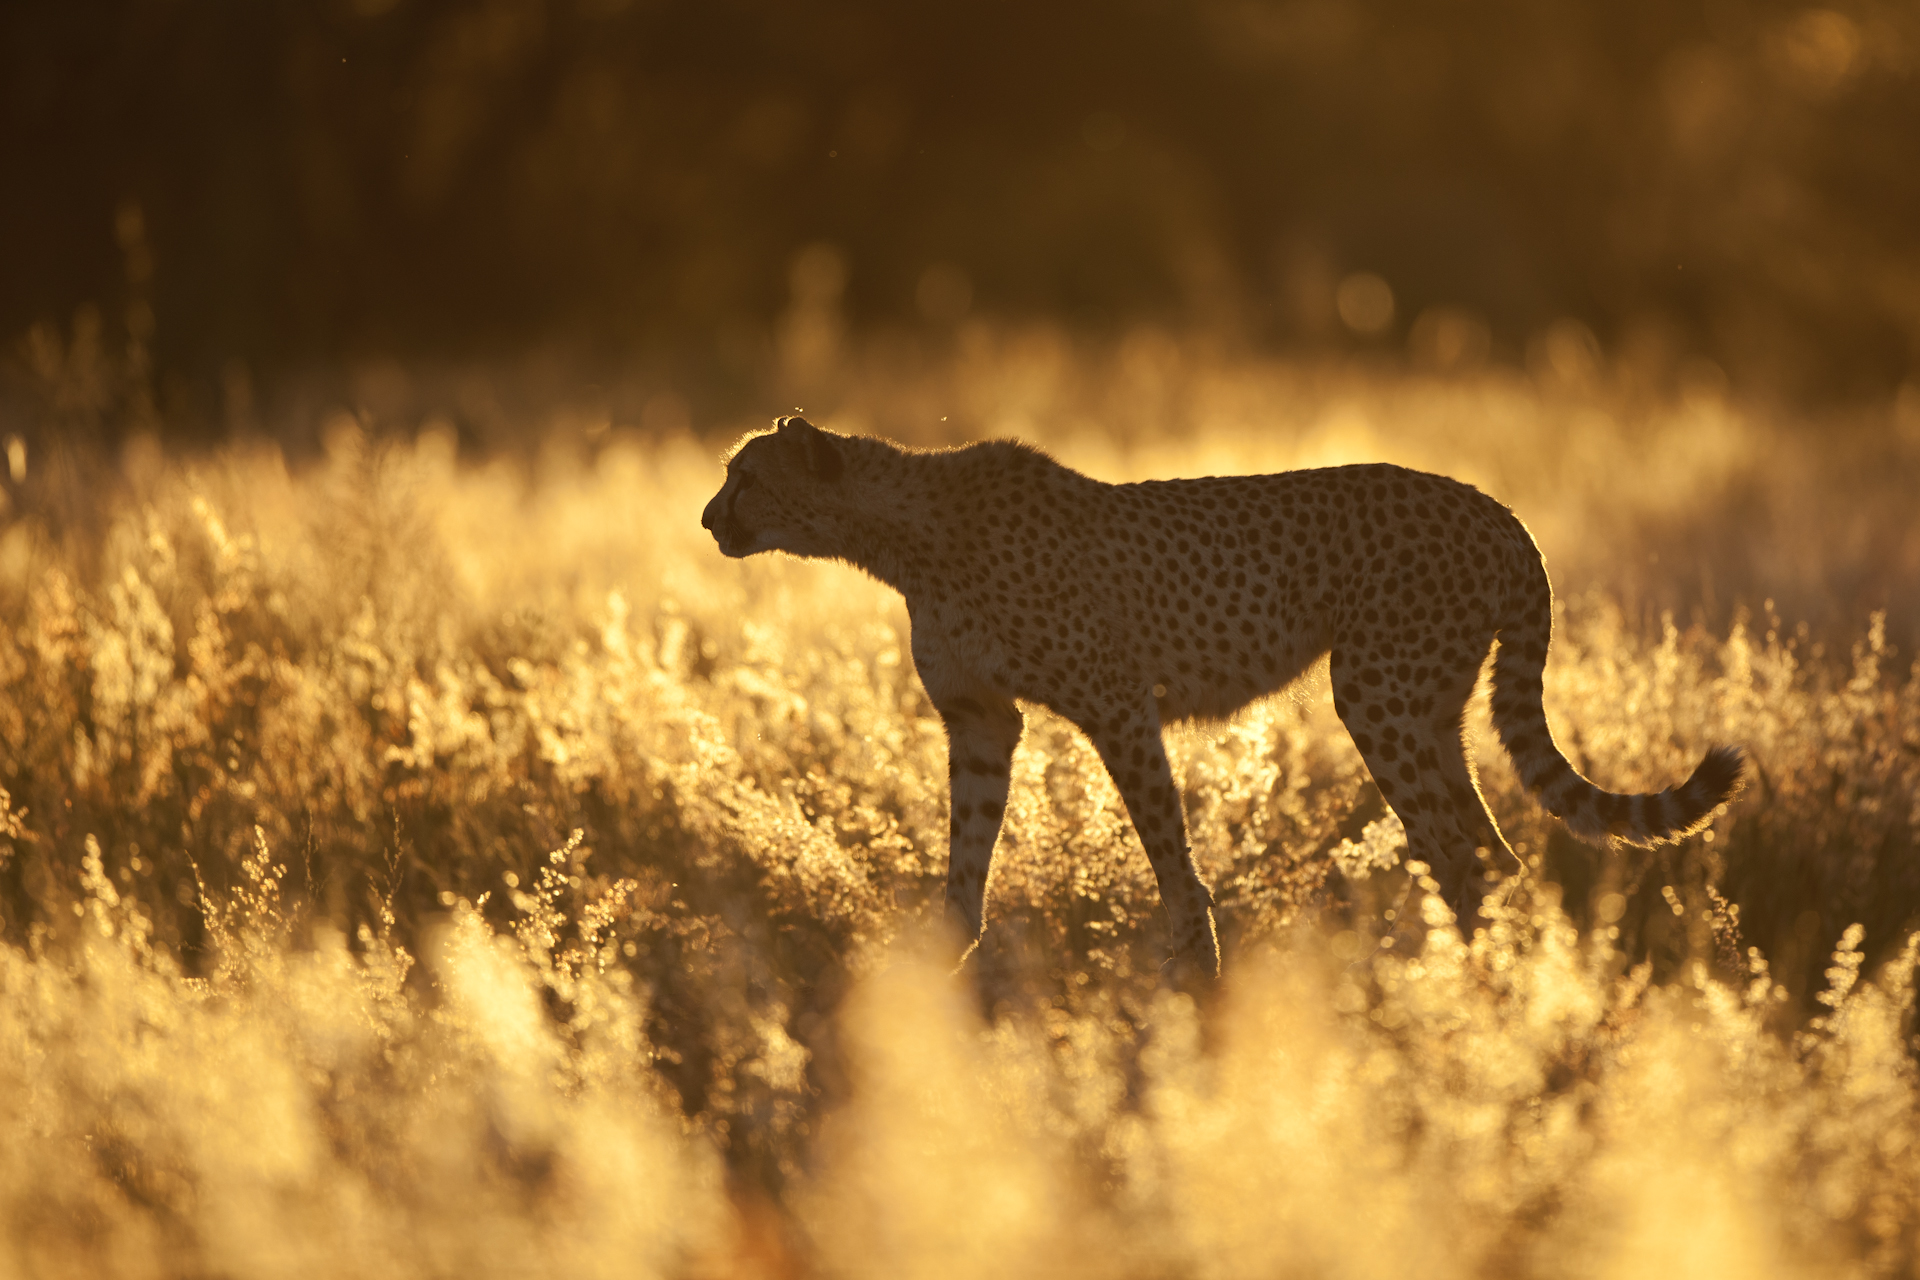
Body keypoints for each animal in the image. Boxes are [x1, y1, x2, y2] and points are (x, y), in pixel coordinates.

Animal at [701, 415, 1745, 979]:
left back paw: (1448, 1000)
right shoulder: (981, 720)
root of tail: (1496, 507)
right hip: (1427, 706)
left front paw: (1195, 977)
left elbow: (1168, 850)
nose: (709, 520)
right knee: (1487, 857)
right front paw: (948, 971)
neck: (904, 531)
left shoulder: (1118, 704)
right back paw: (1472, 988)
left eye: (745, 476)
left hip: (1377, 693)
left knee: (1464, 857)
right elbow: (966, 853)